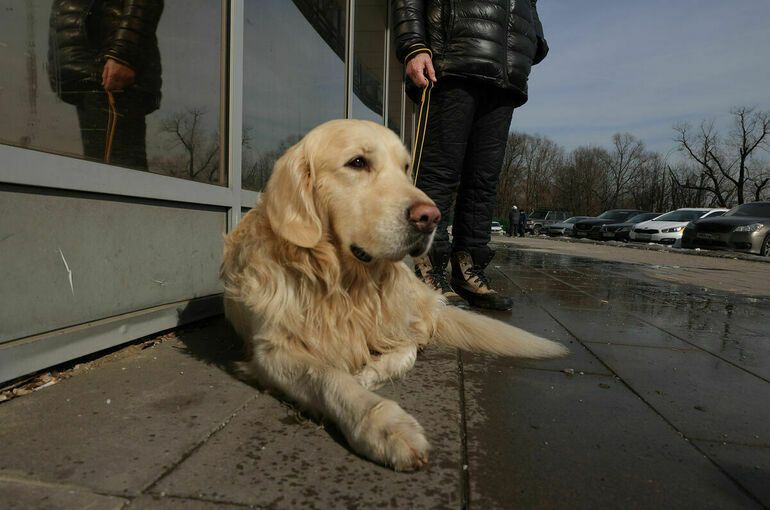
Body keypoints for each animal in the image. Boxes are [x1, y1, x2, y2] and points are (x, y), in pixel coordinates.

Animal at [219, 118, 568, 470]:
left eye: (405, 168)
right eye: (358, 162)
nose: (431, 217)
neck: (344, 283)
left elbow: (403, 352)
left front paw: (369, 378)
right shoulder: (271, 350)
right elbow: (329, 376)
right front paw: (382, 425)